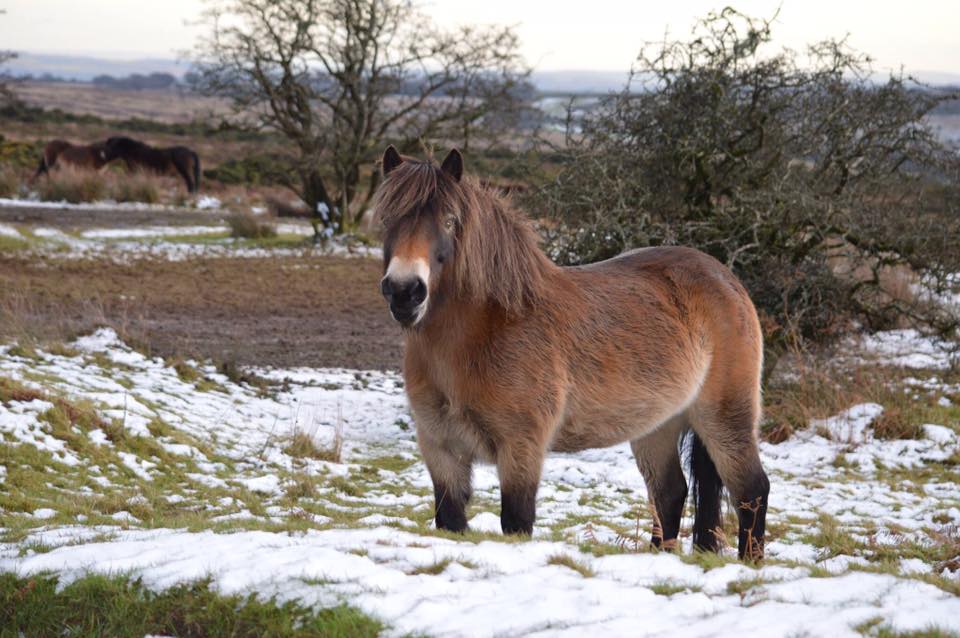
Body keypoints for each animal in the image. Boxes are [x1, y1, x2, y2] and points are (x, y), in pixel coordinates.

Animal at [374, 146, 771, 561]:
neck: (484, 334)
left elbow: (516, 521)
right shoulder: (441, 450)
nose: (404, 291)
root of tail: (727, 281)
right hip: (658, 426)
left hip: (725, 417)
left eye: (450, 221)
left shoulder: (521, 449)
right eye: (386, 219)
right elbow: (450, 520)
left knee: (752, 490)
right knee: (670, 494)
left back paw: (751, 563)